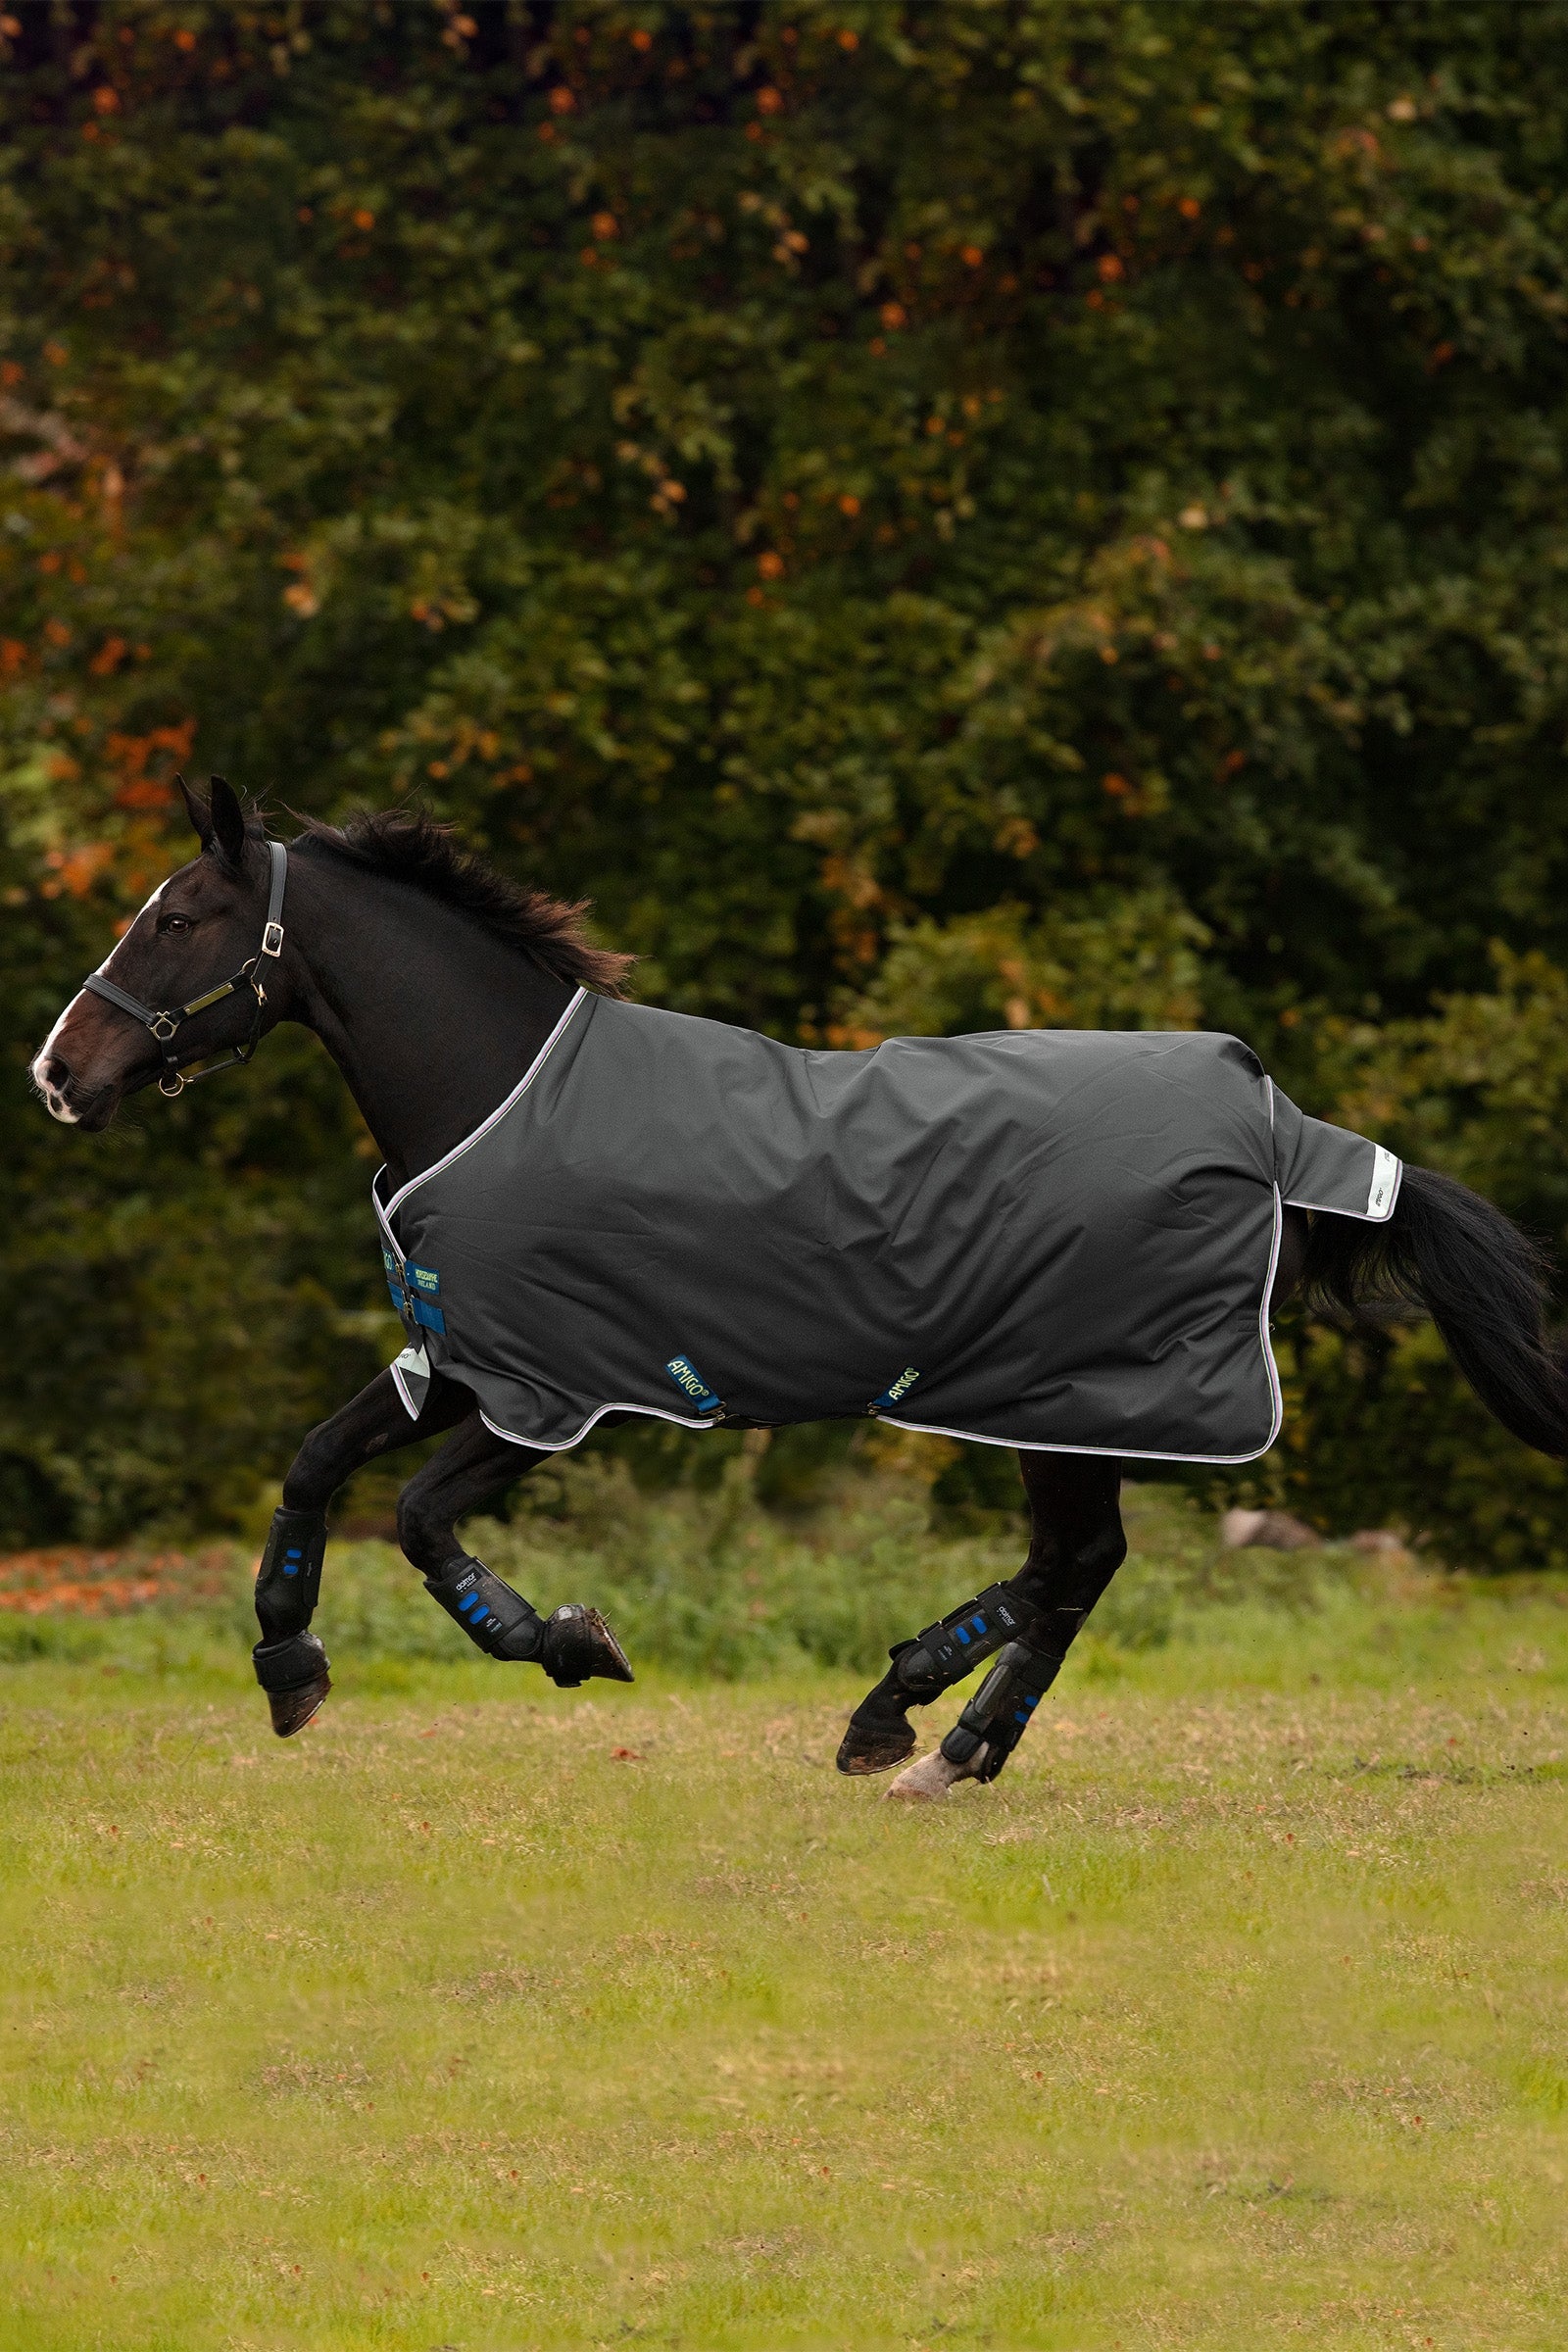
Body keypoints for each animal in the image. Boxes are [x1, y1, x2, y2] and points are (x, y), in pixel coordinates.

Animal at [31, 778, 1568, 1800]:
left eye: (178, 916)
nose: (58, 1074)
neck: (500, 1098)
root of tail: (1277, 1123)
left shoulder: (562, 1394)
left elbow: (414, 1519)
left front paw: (571, 1644)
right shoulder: (462, 1363)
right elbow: (313, 1463)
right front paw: (291, 1672)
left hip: (1063, 1399)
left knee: (1070, 1565)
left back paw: (903, 1722)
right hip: (1066, 1406)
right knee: (1078, 1571)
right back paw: (950, 1748)